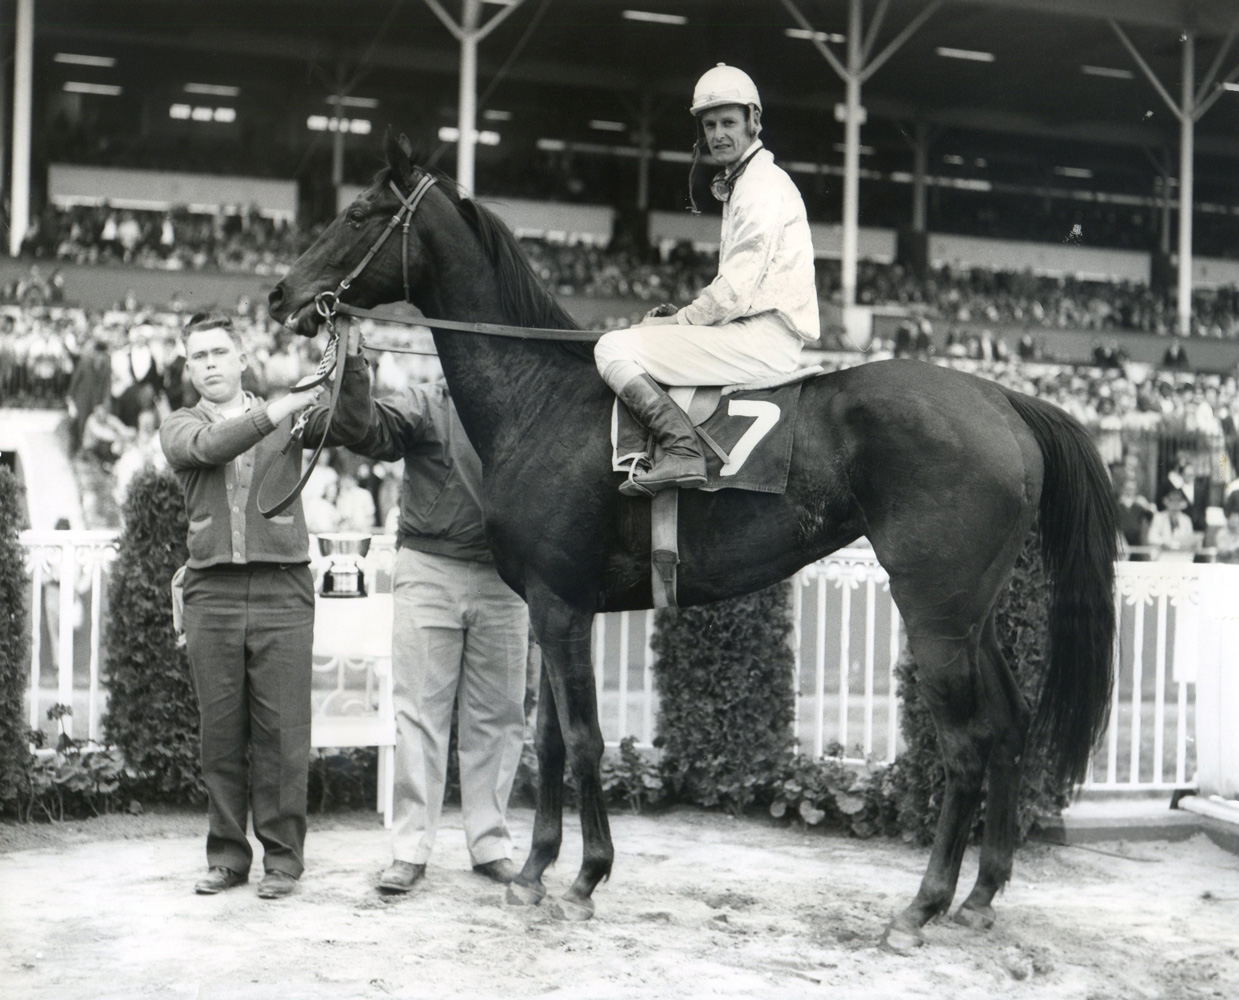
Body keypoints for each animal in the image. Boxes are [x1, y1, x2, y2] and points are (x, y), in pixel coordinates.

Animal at [266, 135, 1120, 956]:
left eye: (359, 213)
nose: (281, 296)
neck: (541, 398)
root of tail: (1002, 398)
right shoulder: (553, 604)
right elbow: (549, 740)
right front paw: (535, 872)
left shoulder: (560, 604)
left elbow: (583, 740)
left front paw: (585, 878)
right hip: (973, 613)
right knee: (1009, 723)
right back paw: (980, 896)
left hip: (934, 612)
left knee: (965, 744)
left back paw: (921, 907)